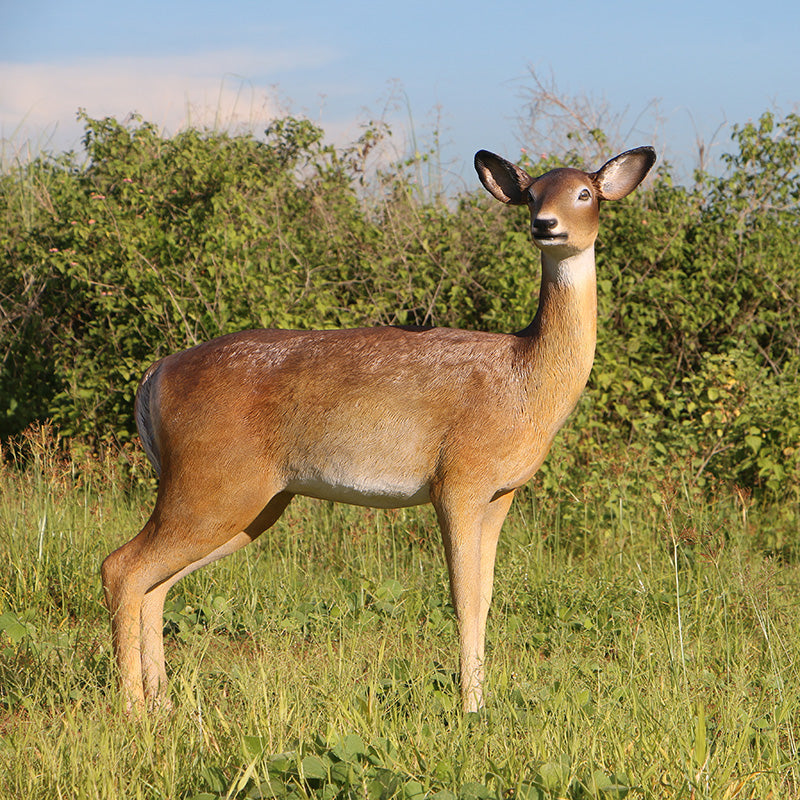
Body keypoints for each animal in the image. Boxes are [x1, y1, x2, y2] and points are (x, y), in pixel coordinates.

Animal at [101, 145, 656, 714]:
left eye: (584, 193)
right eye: (533, 193)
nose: (545, 224)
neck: (525, 378)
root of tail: (154, 376)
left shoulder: (502, 492)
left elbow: (483, 598)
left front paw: (480, 700)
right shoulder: (458, 479)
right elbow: (461, 597)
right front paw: (469, 706)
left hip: (249, 501)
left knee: (154, 583)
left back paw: (162, 705)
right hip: (211, 481)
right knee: (121, 567)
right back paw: (133, 709)